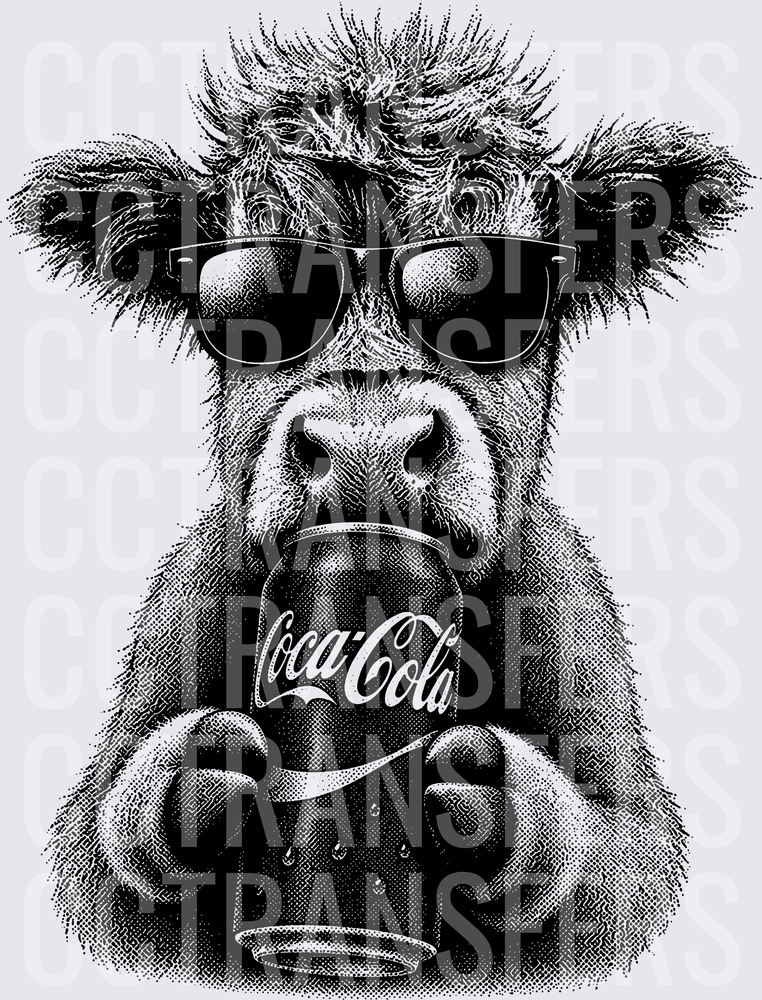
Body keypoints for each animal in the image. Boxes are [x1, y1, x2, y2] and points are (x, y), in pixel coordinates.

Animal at [11, 12, 749, 992]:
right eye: (254, 298)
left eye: (497, 291)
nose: (369, 446)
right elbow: (97, 848)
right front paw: (200, 770)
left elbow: (624, 858)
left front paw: (487, 788)